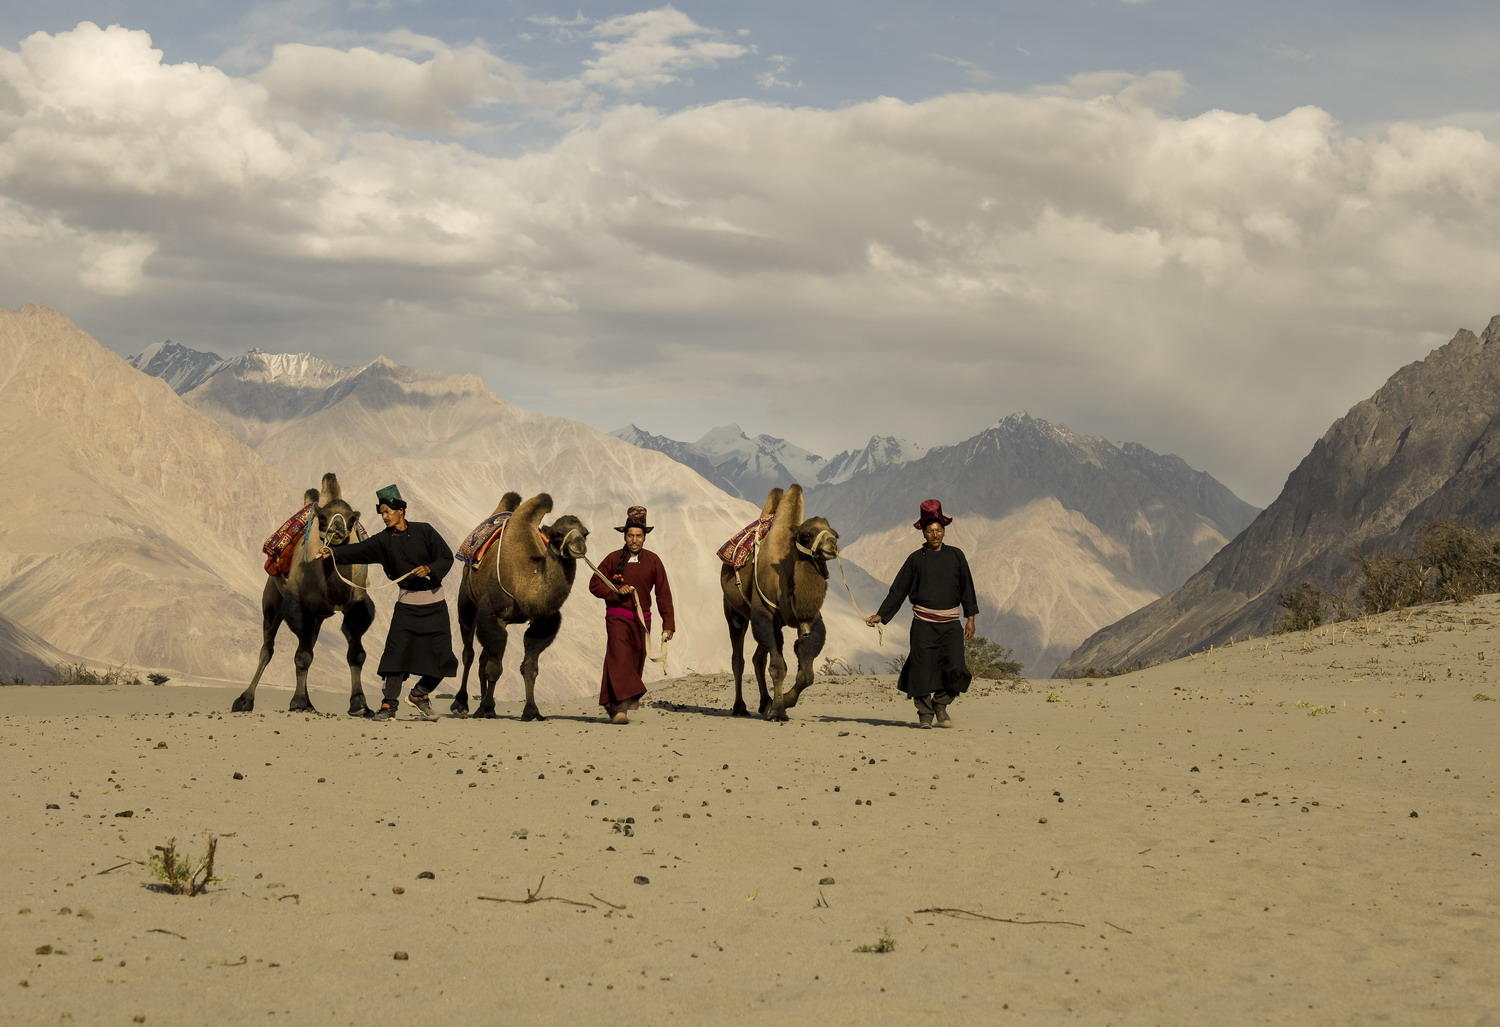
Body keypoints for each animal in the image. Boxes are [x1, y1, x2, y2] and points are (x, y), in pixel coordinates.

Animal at [234, 473, 378, 713]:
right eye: (323, 517)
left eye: (351, 519)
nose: (336, 530)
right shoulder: (300, 605)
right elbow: (302, 656)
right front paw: (298, 701)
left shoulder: (356, 603)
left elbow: (356, 654)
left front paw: (359, 704)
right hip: (273, 601)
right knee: (268, 648)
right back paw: (244, 701)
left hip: (318, 616)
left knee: (309, 644)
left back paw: (310, 702)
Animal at [444, 491, 585, 719]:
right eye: (556, 534)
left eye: (586, 533)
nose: (579, 546)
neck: (524, 579)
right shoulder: (492, 614)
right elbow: (495, 668)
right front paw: (487, 707)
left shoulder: (542, 621)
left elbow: (530, 667)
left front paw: (531, 711)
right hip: (466, 600)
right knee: (469, 653)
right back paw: (462, 704)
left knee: (483, 658)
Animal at [717, 482, 840, 716]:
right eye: (807, 534)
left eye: (836, 534)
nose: (832, 545)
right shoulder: (764, 614)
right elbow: (778, 666)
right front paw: (778, 711)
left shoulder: (808, 619)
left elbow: (806, 671)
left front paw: (785, 701)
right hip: (734, 611)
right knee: (739, 659)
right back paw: (740, 707)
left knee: (758, 657)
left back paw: (765, 702)